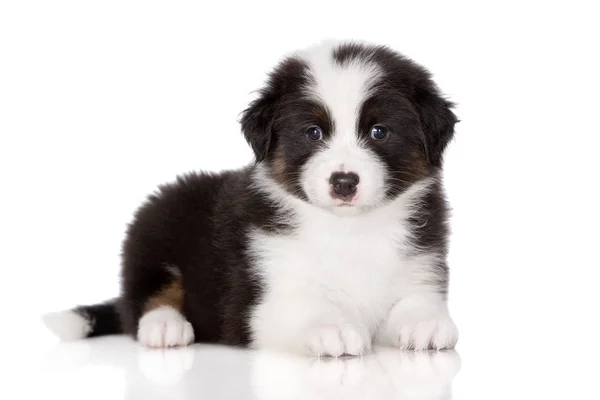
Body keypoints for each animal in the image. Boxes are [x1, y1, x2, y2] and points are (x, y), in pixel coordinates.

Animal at [43, 40, 460, 356]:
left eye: (379, 132)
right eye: (313, 133)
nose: (344, 182)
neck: (348, 230)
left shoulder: (421, 265)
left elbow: (416, 300)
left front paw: (427, 324)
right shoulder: (260, 300)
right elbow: (306, 306)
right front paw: (333, 328)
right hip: (153, 229)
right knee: (144, 299)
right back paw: (164, 326)